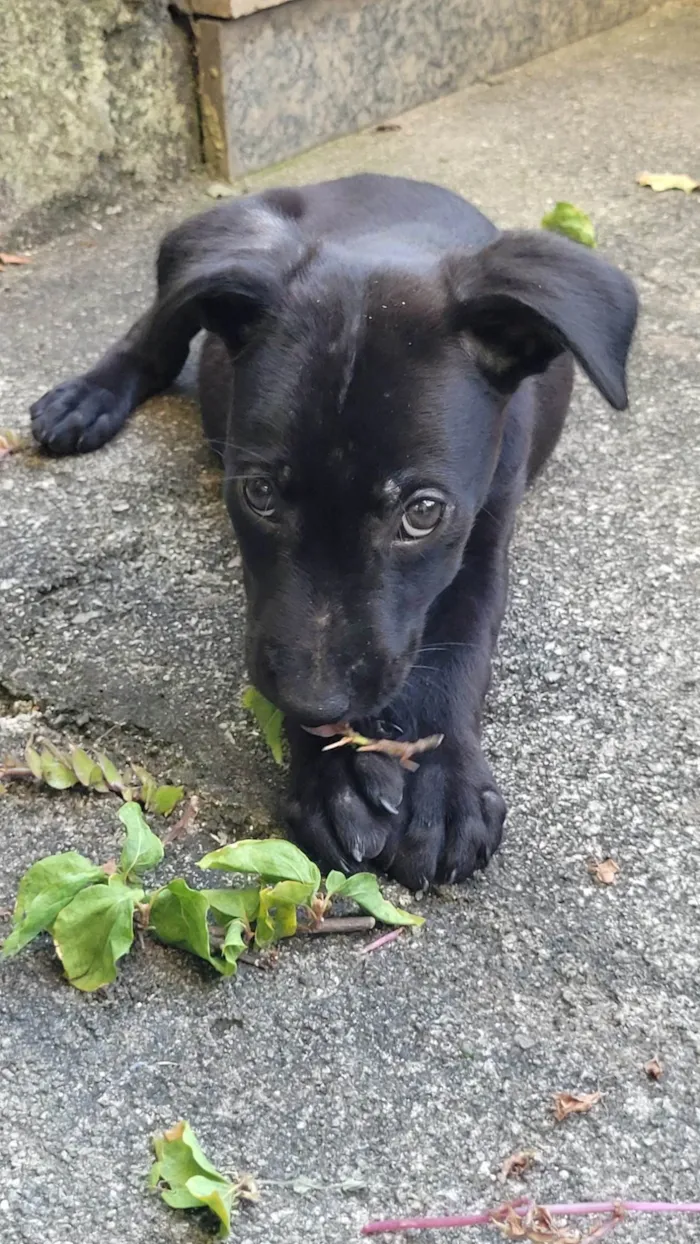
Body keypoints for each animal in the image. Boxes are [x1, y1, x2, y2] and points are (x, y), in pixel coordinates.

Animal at [31, 177, 636, 895]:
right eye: (259, 494)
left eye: (422, 513)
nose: (313, 702)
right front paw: (334, 778)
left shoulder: (483, 539)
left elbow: (457, 650)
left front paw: (439, 789)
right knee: (155, 336)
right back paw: (87, 396)